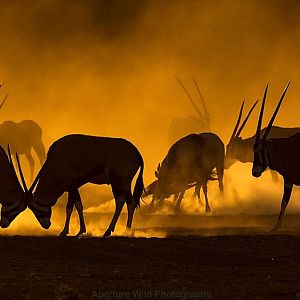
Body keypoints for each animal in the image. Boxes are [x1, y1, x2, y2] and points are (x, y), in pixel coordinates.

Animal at [16, 135, 145, 238]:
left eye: (35, 208)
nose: (46, 225)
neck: (56, 161)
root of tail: (135, 152)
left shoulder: (73, 186)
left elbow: (77, 206)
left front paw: (78, 231)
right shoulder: (71, 188)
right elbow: (70, 207)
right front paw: (66, 231)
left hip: (117, 182)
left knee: (122, 201)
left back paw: (115, 231)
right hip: (125, 184)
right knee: (129, 202)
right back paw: (124, 231)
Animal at [251, 82, 298, 230]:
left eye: (262, 150)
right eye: (253, 150)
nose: (255, 172)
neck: (286, 148)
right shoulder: (288, 180)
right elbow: (284, 201)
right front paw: (276, 226)